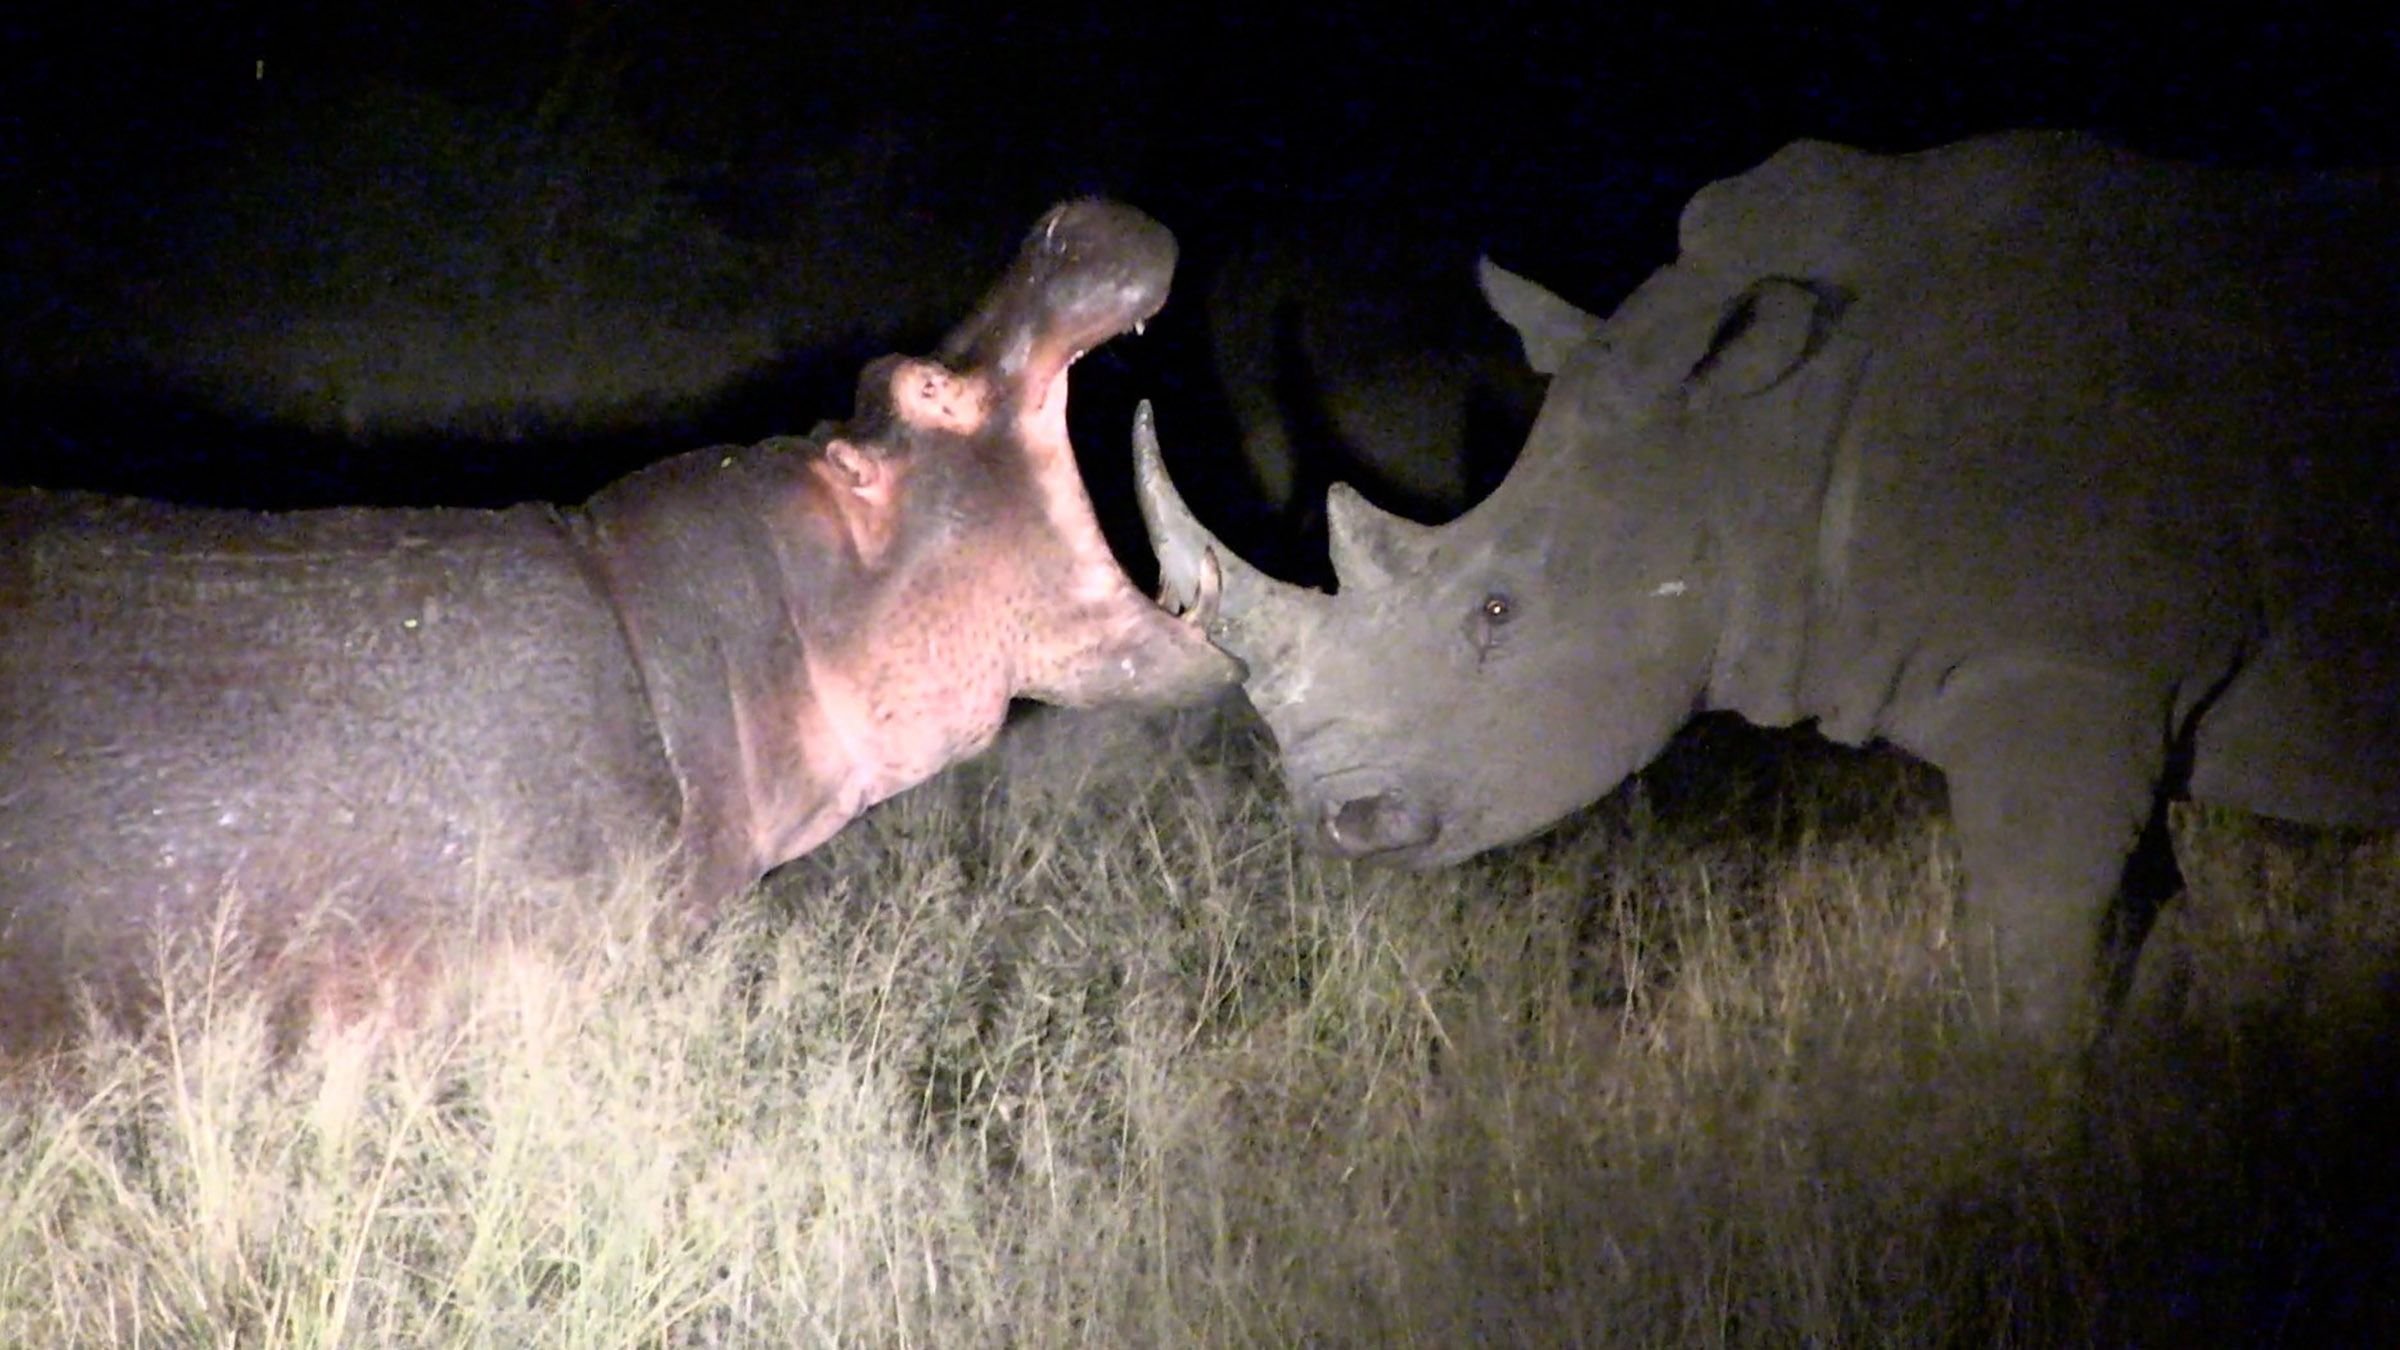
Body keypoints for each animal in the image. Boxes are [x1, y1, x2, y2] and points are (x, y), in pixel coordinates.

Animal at [1139, 131, 2400, 1039]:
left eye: (1496, 612)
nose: (1338, 821)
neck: (1752, 444)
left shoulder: (2068, 671)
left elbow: (2041, 943)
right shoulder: (2115, 686)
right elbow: (2140, 921)